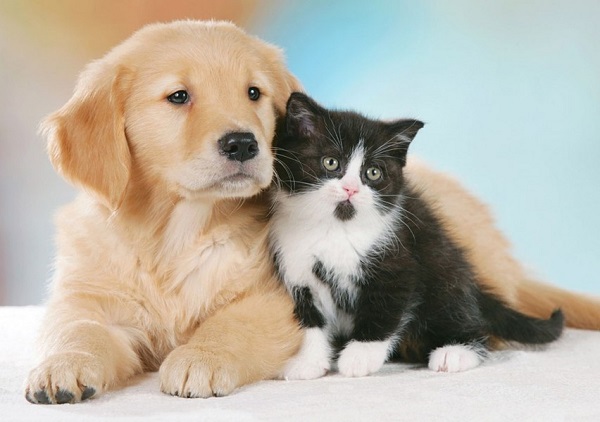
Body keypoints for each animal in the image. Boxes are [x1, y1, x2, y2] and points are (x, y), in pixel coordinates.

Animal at [25, 20, 302, 406]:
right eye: (179, 96)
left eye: (253, 93)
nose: (243, 144)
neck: (174, 235)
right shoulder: (88, 297)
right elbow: (78, 330)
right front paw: (64, 364)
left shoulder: (273, 297)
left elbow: (230, 325)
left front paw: (200, 357)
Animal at [270, 93, 564, 380]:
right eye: (331, 163)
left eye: (373, 173)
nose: (351, 189)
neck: (336, 228)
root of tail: (471, 282)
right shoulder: (297, 271)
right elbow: (309, 322)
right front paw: (307, 362)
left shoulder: (400, 263)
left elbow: (384, 311)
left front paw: (360, 357)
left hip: (442, 272)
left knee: (466, 321)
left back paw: (455, 352)